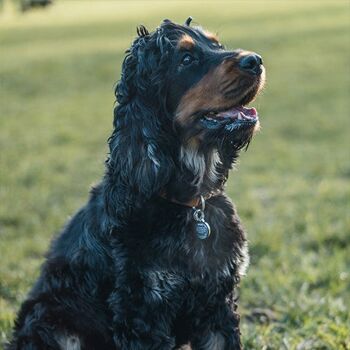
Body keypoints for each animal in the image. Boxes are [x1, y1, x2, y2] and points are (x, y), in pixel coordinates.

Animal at [7, 17, 266, 350]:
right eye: (186, 59)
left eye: (217, 45)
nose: (255, 61)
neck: (189, 206)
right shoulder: (141, 310)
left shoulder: (217, 305)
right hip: (53, 321)